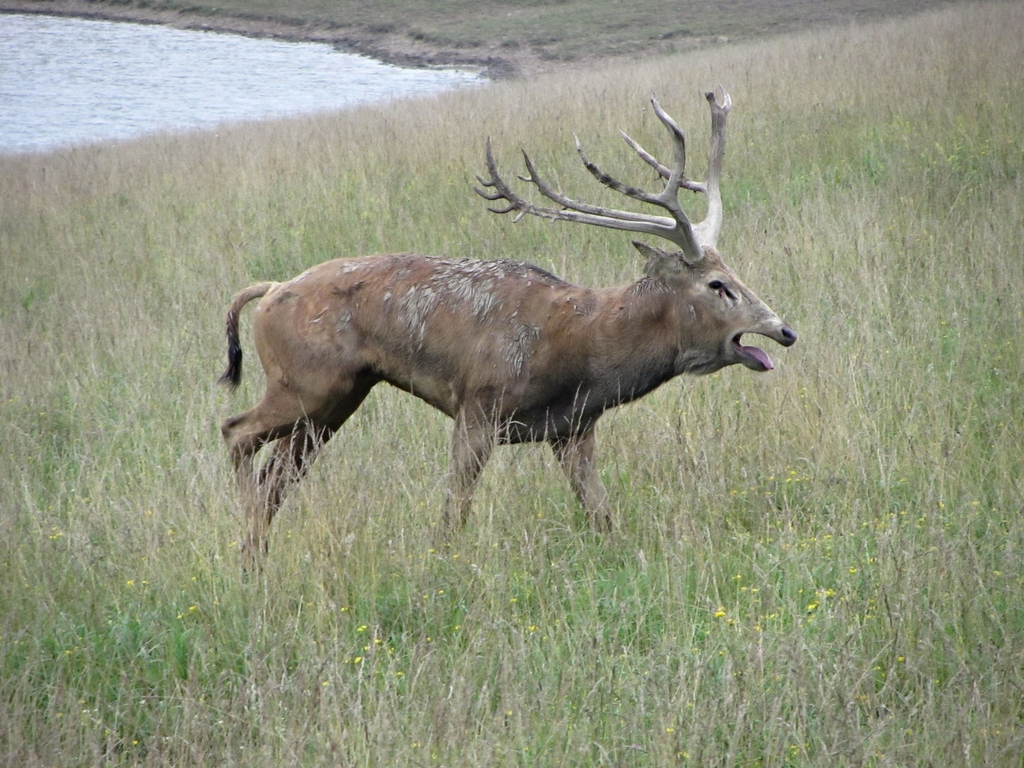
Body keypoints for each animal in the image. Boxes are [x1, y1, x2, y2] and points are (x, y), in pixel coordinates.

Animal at [219, 88, 796, 563]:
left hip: (337, 398)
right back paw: (246, 541)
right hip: (306, 382)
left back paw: (255, 554)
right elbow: (453, 513)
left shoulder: (574, 429)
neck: (583, 354)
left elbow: (603, 517)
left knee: (276, 473)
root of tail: (269, 291)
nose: (783, 329)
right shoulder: (477, 406)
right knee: (236, 432)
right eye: (717, 285)